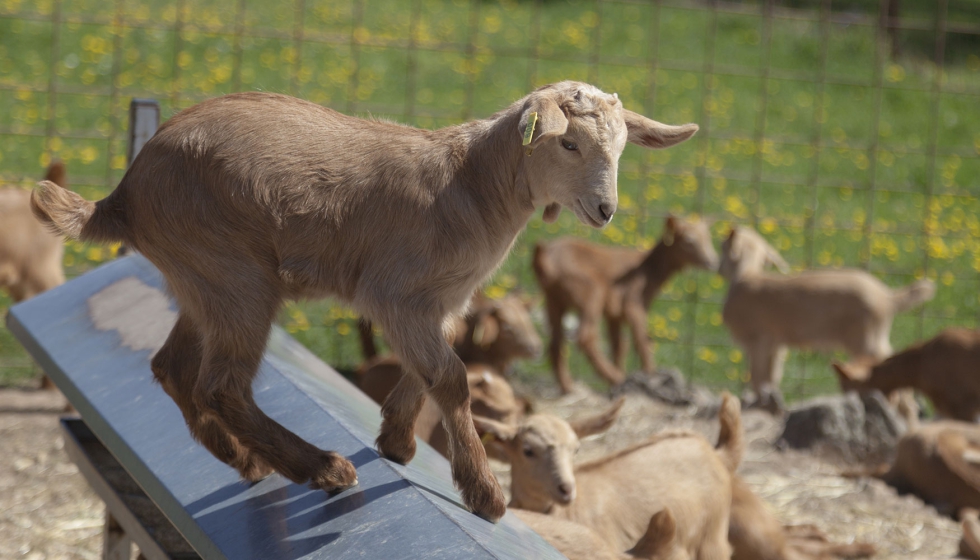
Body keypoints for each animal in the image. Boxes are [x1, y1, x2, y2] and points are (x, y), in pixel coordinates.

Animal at [28, 82, 696, 520]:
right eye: (569, 145)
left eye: (621, 148)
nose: (605, 210)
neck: (473, 186)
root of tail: (122, 194)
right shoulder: (395, 292)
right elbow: (451, 378)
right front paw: (484, 494)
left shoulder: (435, 302)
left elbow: (430, 367)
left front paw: (396, 440)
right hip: (237, 277)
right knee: (220, 385)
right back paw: (321, 468)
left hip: (202, 280)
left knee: (173, 368)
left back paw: (245, 461)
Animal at [720, 225, 936, 414]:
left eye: (722, 247)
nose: (719, 267)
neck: (747, 275)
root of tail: (888, 297)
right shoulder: (776, 345)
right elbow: (771, 377)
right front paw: (770, 404)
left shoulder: (758, 340)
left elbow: (757, 376)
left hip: (866, 339)